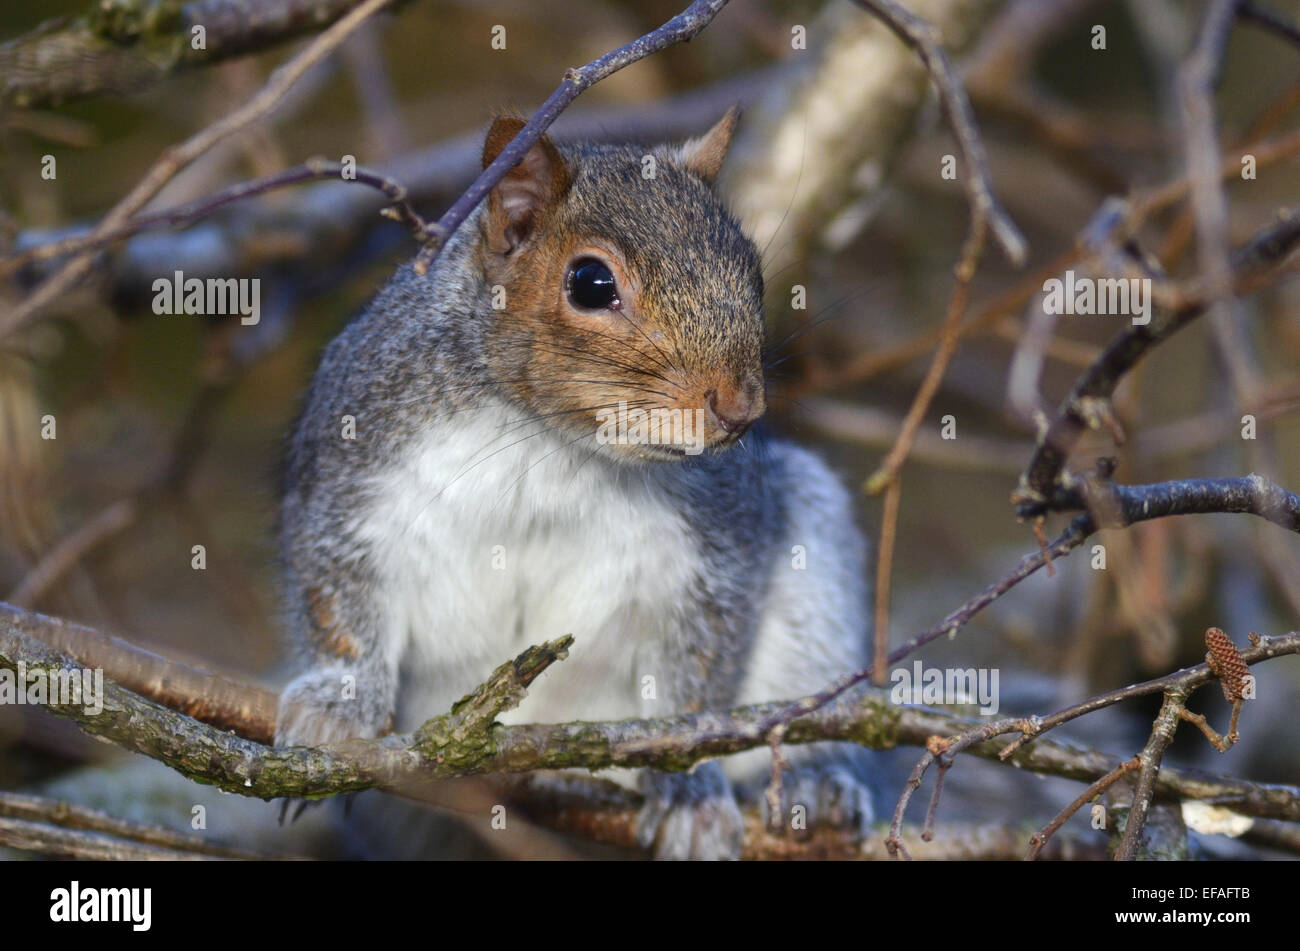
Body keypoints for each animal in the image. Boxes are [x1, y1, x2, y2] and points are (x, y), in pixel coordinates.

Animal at [279, 111, 878, 862]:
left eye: (753, 271)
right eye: (591, 283)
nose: (741, 409)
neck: (551, 442)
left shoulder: (716, 546)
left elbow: (698, 674)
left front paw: (689, 786)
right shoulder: (351, 476)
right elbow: (337, 603)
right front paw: (335, 708)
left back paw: (816, 783)